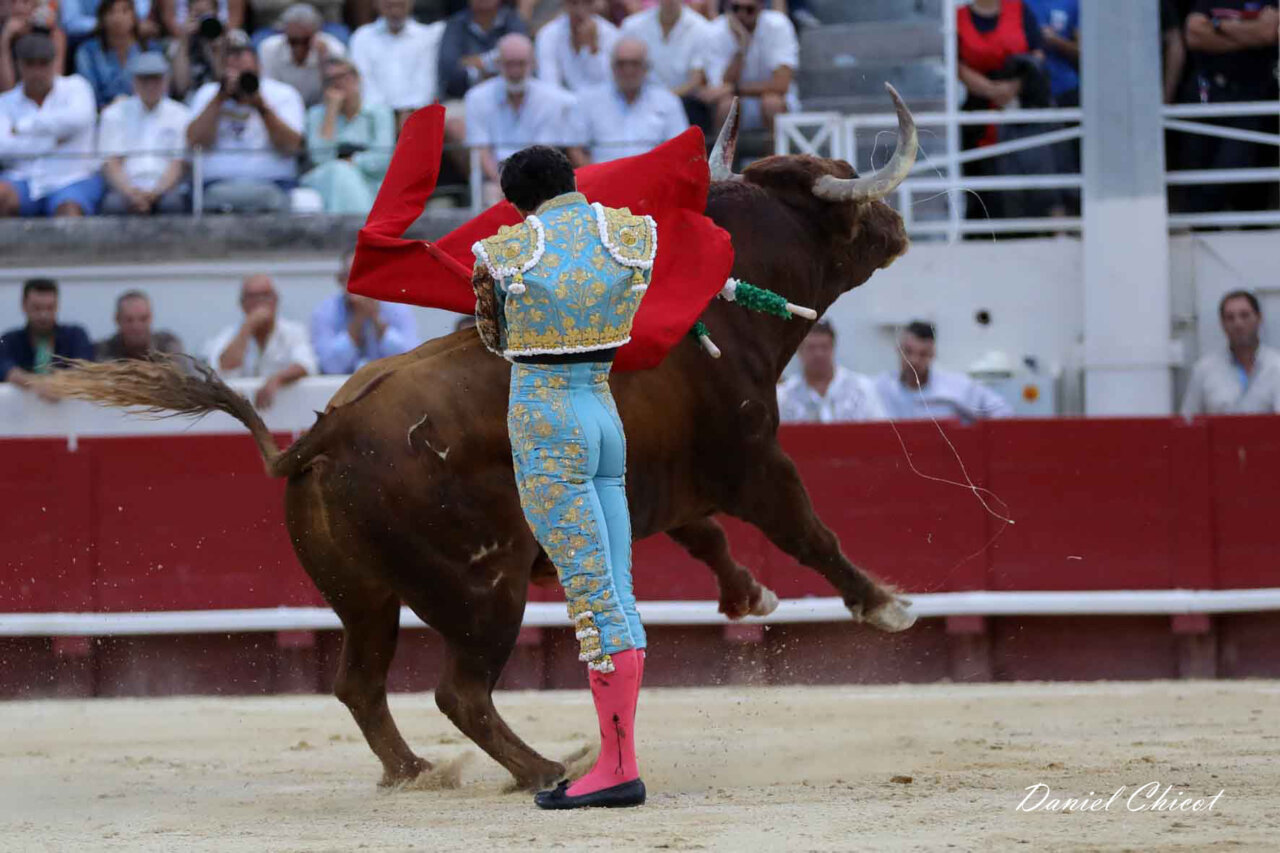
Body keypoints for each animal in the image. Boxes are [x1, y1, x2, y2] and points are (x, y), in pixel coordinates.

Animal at [44, 89, 920, 793]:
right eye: (850, 196)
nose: (900, 226)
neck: (721, 303)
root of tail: (319, 439)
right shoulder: (754, 458)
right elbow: (808, 531)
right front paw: (887, 603)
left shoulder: (653, 480)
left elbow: (702, 536)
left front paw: (749, 596)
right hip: (483, 590)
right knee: (458, 691)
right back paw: (545, 767)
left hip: (365, 596)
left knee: (360, 683)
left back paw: (417, 770)